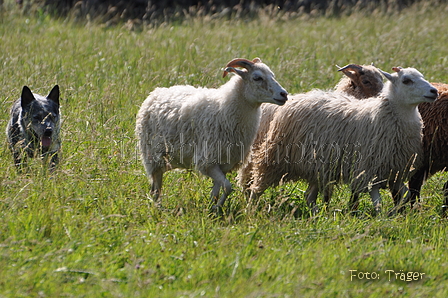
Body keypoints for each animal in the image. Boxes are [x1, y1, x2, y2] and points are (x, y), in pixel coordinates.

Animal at [136, 57, 288, 212]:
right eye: (257, 78)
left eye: (272, 75)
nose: (284, 94)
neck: (225, 109)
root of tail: (155, 93)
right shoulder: (208, 161)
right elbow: (228, 187)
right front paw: (217, 206)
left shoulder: (224, 164)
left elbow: (218, 190)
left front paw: (212, 209)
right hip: (152, 156)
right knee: (155, 187)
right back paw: (158, 208)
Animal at [248, 67, 438, 214]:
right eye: (407, 80)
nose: (434, 91)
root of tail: (298, 97)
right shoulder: (369, 169)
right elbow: (377, 202)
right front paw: (381, 217)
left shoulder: (395, 171)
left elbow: (406, 196)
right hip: (276, 157)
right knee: (257, 185)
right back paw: (251, 208)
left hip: (317, 166)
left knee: (309, 196)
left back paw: (317, 215)